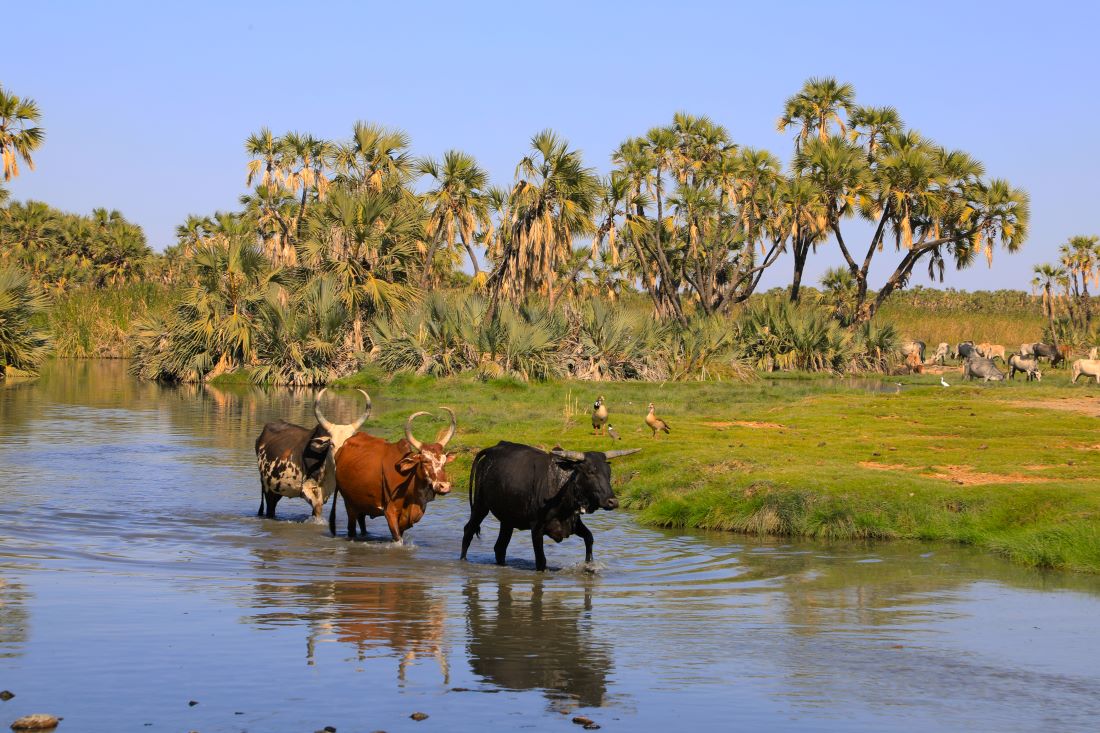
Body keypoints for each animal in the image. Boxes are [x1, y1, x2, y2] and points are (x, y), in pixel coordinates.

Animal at [254, 387, 371, 519]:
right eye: (332, 444)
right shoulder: (307, 490)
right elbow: (317, 509)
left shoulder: (325, 493)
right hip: (268, 488)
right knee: (270, 509)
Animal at [325, 407, 455, 539]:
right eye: (425, 461)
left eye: (444, 461)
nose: (444, 487)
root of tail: (341, 449)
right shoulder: (390, 512)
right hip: (350, 504)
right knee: (351, 529)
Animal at [459, 440, 642, 572]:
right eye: (590, 471)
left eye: (608, 473)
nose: (613, 501)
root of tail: (493, 449)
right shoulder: (536, 529)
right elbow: (541, 562)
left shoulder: (574, 523)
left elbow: (589, 538)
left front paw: (589, 566)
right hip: (480, 506)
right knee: (468, 531)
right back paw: (463, 562)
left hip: (507, 520)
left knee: (500, 548)